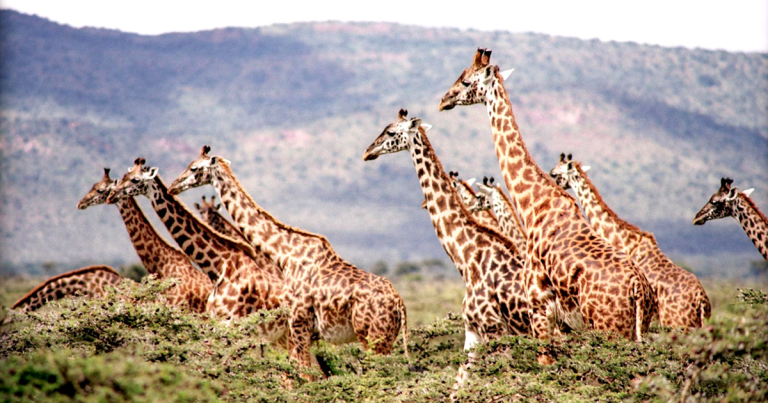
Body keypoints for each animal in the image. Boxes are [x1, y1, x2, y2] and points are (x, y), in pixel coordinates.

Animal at [167, 146, 408, 377]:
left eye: (194, 168)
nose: (173, 187)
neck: (285, 255)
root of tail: (399, 304)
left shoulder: (299, 323)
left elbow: (303, 374)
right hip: (384, 339)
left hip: (372, 337)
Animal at [363, 109, 529, 390]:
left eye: (391, 132)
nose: (368, 151)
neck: (468, 258)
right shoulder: (473, 332)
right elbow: (458, 386)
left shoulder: (495, 331)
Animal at [439, 48, 656, 343]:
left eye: (465, 81)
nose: (443, 101)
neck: (534, 204)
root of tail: (639, 291)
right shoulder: (559, 321)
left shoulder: (539, 304)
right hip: (635, 330)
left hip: (609, 328)